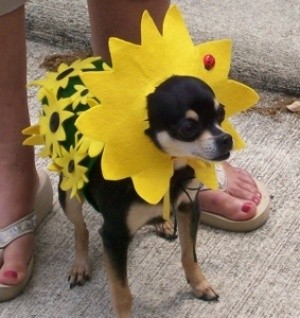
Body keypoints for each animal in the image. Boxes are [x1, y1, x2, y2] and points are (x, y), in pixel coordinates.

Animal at [58, 75, 232, 318]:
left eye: (221, 113)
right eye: (188, 127)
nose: (226, 139)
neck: (168, 170)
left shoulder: (189, 207)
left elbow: (189, 254)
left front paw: (199, 284)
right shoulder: (114, 236)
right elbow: (122, 293)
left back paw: (163, 223)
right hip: (69, 193)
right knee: (80, 228)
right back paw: (80, 265)